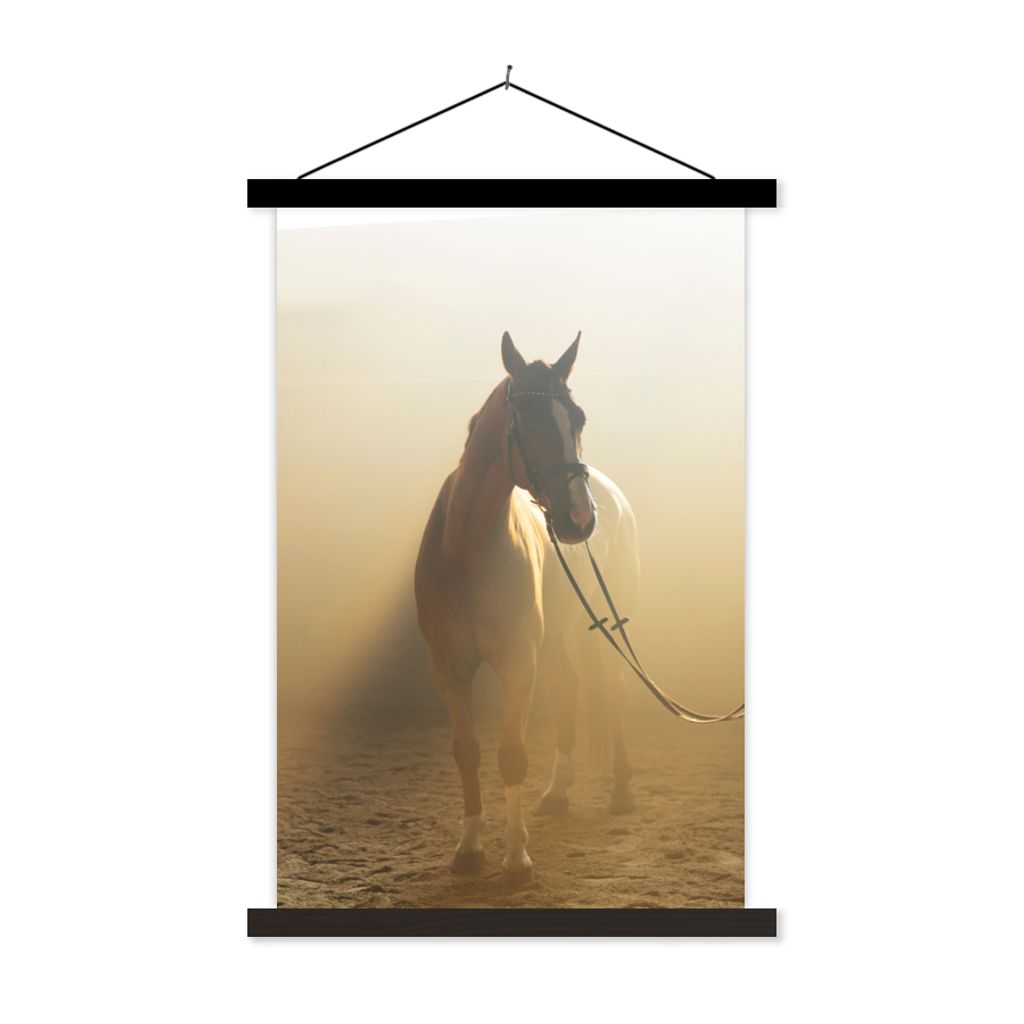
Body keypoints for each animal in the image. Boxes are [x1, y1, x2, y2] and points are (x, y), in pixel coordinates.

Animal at [414, 331, 640, 882]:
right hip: (557, 638)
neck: (468, 549)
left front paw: (516, 857)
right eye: (530, 421)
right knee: (569, 690)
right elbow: (467, 751)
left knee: (614, 690)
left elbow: (512, 755)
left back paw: (621, 791)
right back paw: (557, 793)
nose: (579, 518)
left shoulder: (518, 661)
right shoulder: (447, 665)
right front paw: (469, 849)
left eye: (578, 418)